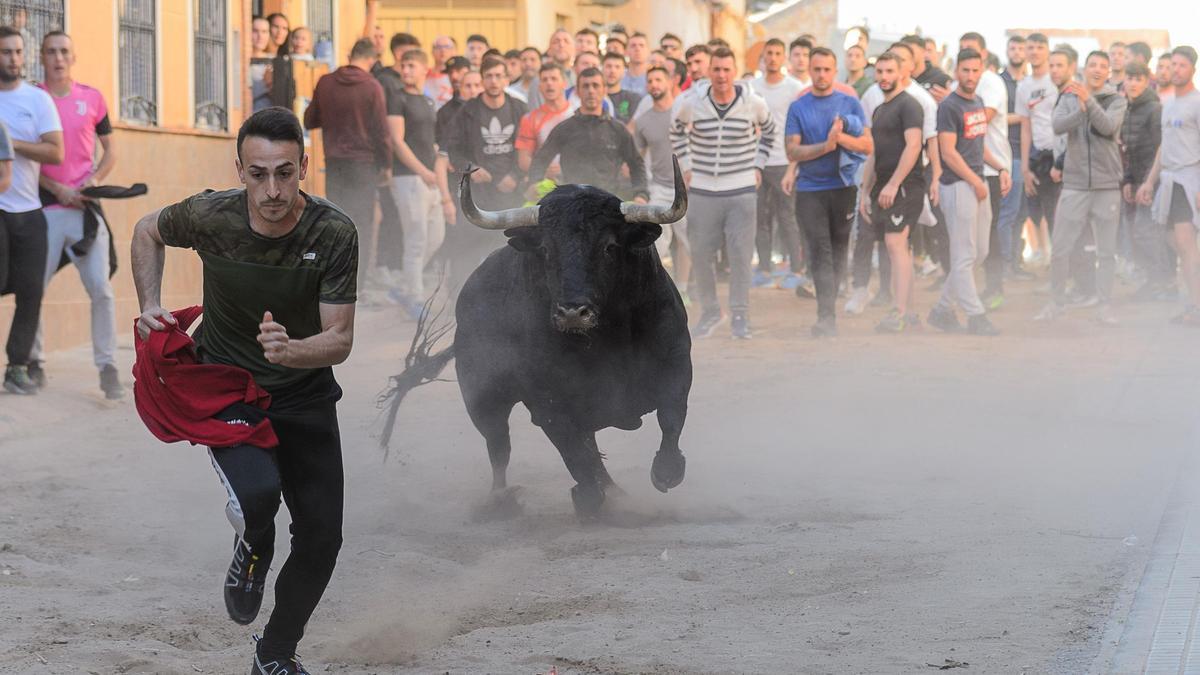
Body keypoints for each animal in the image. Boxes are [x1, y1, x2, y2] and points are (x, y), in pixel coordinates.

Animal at [379, 157, 691, 514]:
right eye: (544, 248)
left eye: (610, 246)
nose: (572, 312)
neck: (604, 338)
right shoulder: (548, 406)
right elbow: (575, 455)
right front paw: (587, 497)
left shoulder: (676, 367)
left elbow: (671, 417)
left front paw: (666, 472)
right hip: (483, 397)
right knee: (499, 446)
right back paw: (501, 499)